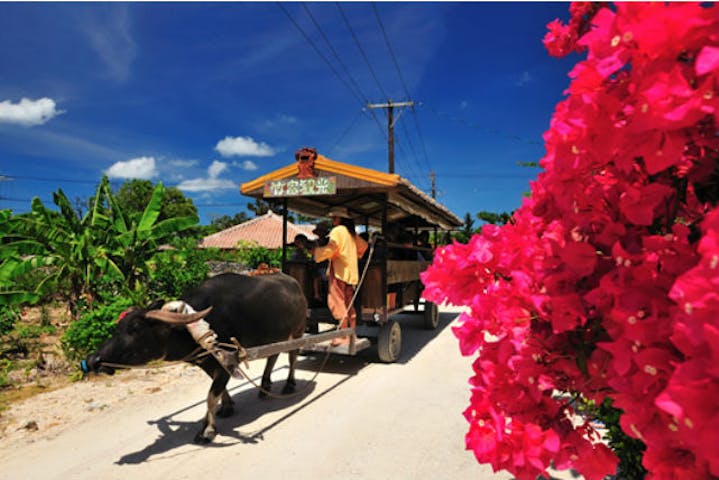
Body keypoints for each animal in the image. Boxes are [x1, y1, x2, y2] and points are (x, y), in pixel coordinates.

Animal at [84, 272, 310, 444]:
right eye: (117, 328)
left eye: (135, 328)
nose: (94, 360)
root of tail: (295, 283)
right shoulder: (207, 363)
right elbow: (217, 391)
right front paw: (226, 407)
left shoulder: (227, 362)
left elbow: (211, 396)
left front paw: (207, 430)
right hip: (276, 337)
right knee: (273, 356)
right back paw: (264, 387)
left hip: (298, 331)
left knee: (292, 357)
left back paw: (289, 384)